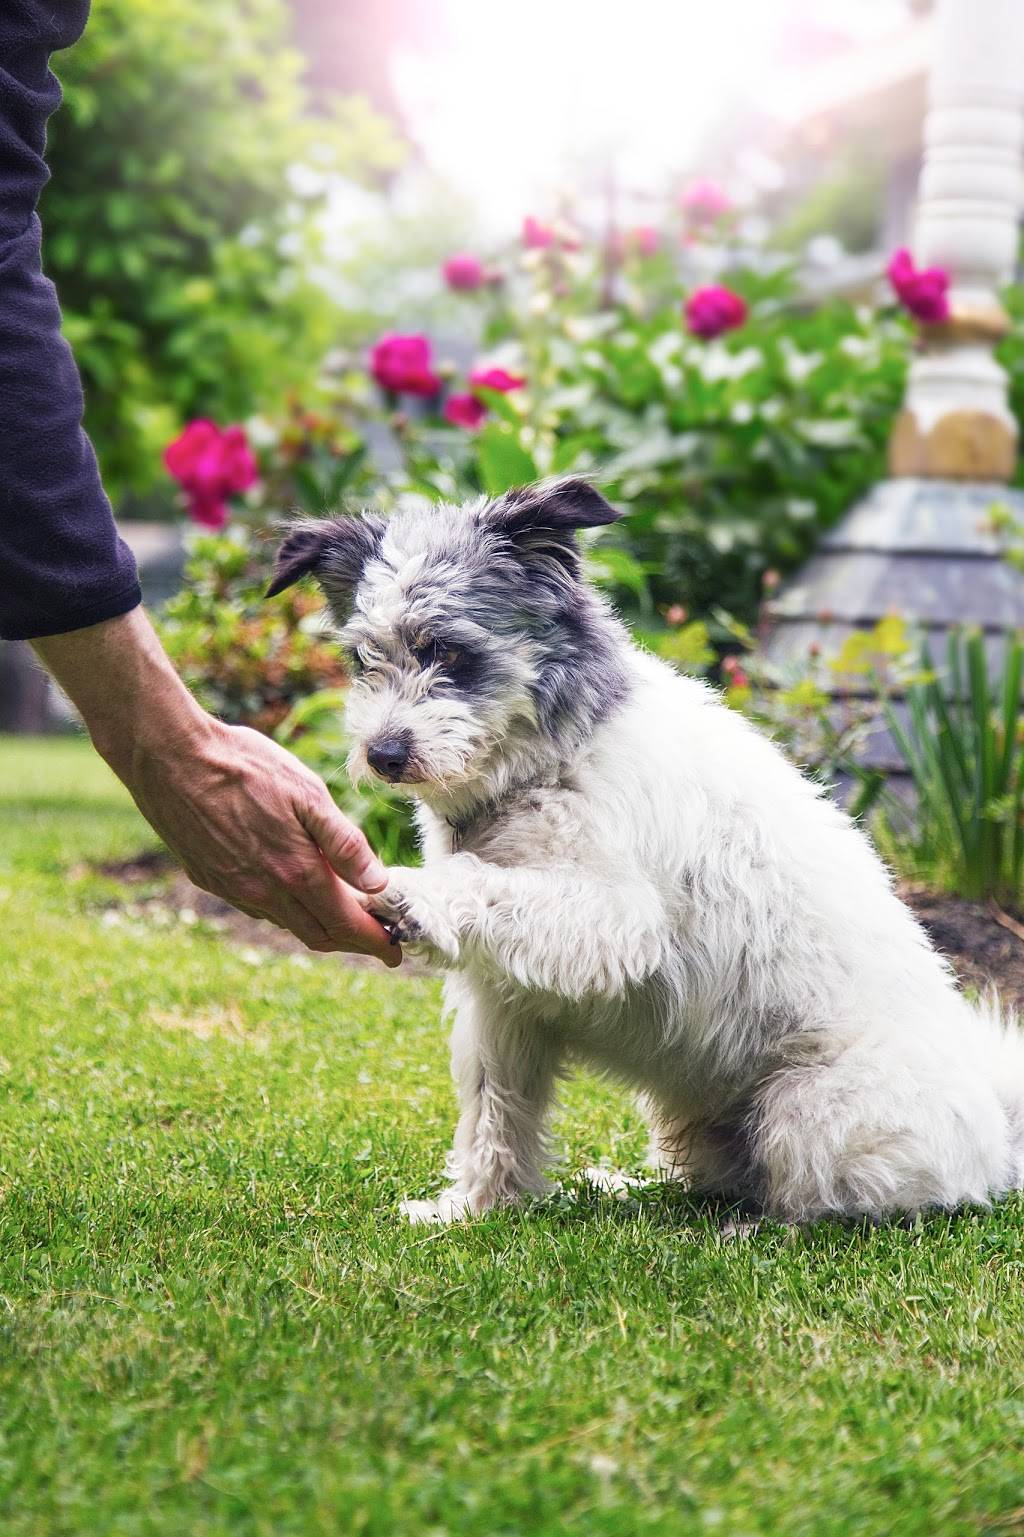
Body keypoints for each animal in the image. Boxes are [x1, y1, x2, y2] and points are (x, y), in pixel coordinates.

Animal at [269, 476, 1020, 1223]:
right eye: (363, 658)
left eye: (449, 651)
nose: (383, 754)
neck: (547, 767)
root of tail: (994, 1135)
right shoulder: (505, 1005)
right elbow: (496, 1112)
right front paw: (478, 1208)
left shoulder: (615, 919)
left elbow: (486, 883)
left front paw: (413, 891)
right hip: (695, 1116)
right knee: (714, 1176)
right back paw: (623, 1185)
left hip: (809, 1108)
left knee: (817, 1200)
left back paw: (752, 1227)